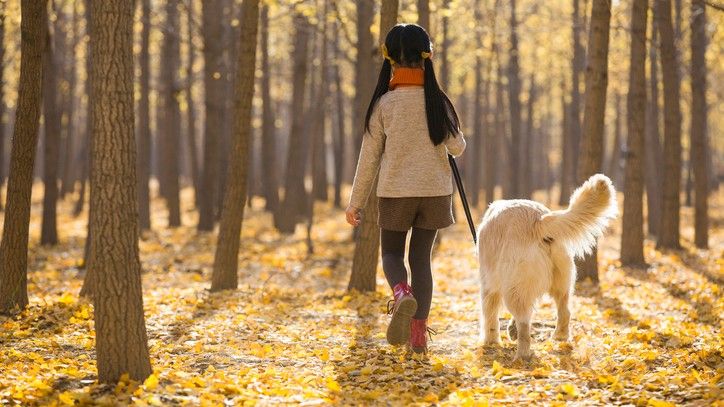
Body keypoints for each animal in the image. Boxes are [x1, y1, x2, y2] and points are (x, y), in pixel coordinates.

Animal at [478, 175, 620, 360]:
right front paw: (509, 330)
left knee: (525, 323)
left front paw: (491, 341)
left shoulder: (489, 285)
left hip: (513, 287)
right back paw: (560, 336)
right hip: (562, 281)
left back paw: (522, 356)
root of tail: (539, 219)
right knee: (565, 311)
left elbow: (490, 315)